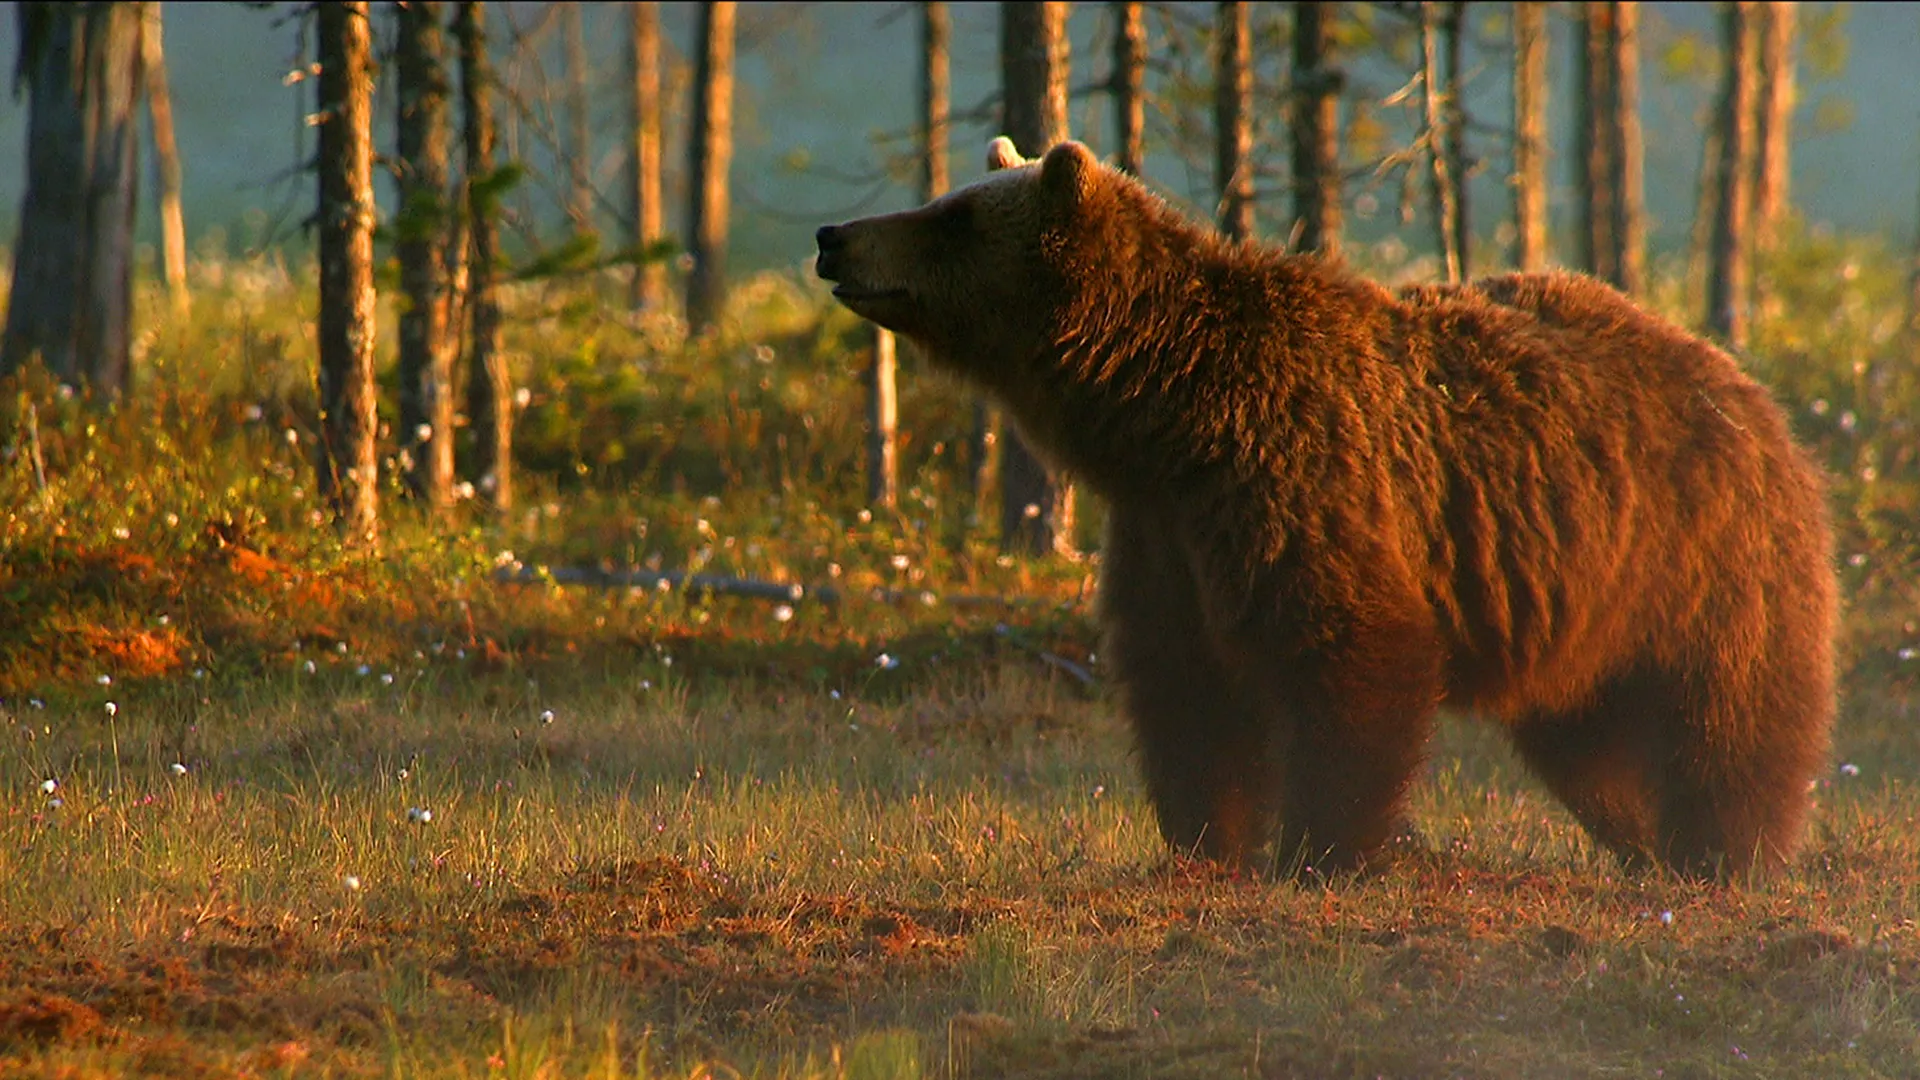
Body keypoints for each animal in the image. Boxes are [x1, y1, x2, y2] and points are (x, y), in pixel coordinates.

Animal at [814, 136, 1838, 880]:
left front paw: (1321, 852)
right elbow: (1185, 687)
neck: (1163, 416)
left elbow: (1354, 653)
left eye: (950, 214)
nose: (834, 234)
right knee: (1588, 740)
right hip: (1586, 607)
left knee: (1729, 717)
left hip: (1703, 561)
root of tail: (1758, 396)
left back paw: (1720, 853)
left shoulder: (1298, 482)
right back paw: (1640, 841)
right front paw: (1206, 846)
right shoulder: (1168, 534)